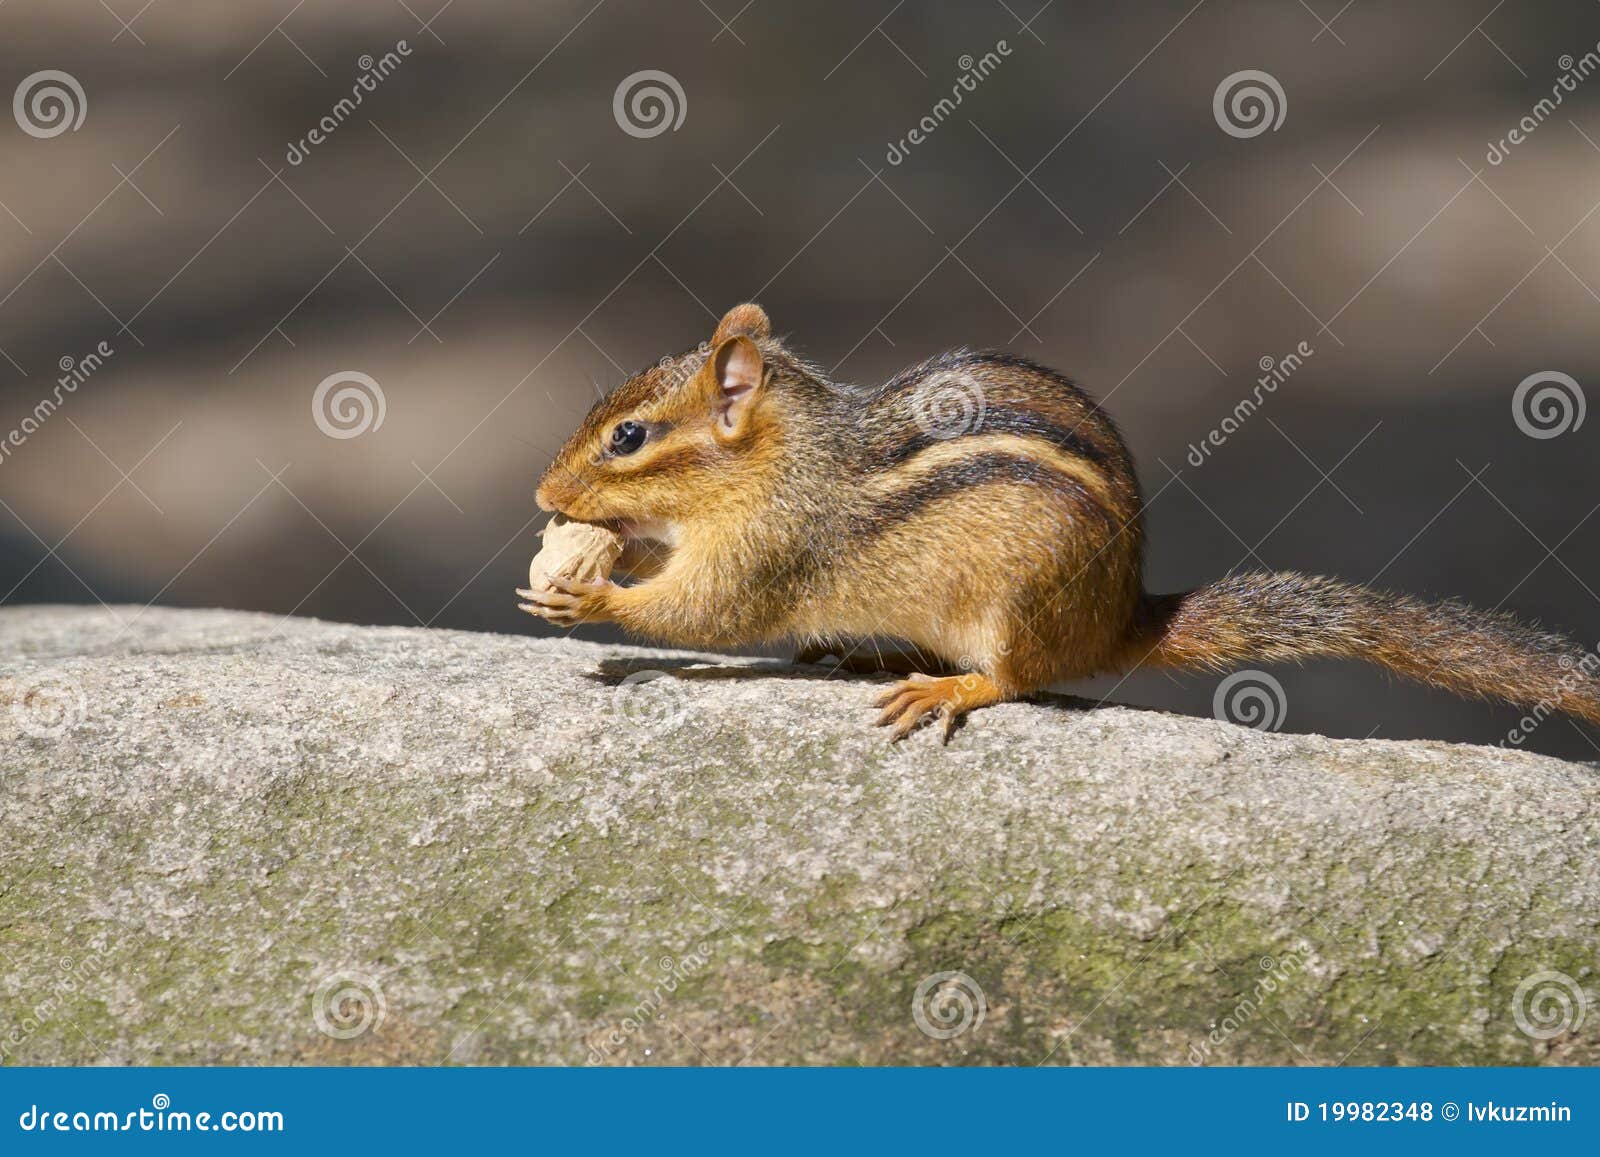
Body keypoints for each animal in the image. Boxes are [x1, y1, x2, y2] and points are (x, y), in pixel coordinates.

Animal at [520, 303, 1600, 742]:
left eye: (626, 436)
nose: (540, 499)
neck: (785, 460)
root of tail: (1121, 616)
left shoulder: (769, 549)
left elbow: (708, 614)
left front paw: (590, 596)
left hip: (1018, 602)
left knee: (1017, 677)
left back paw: (946, 686)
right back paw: (871, 653)